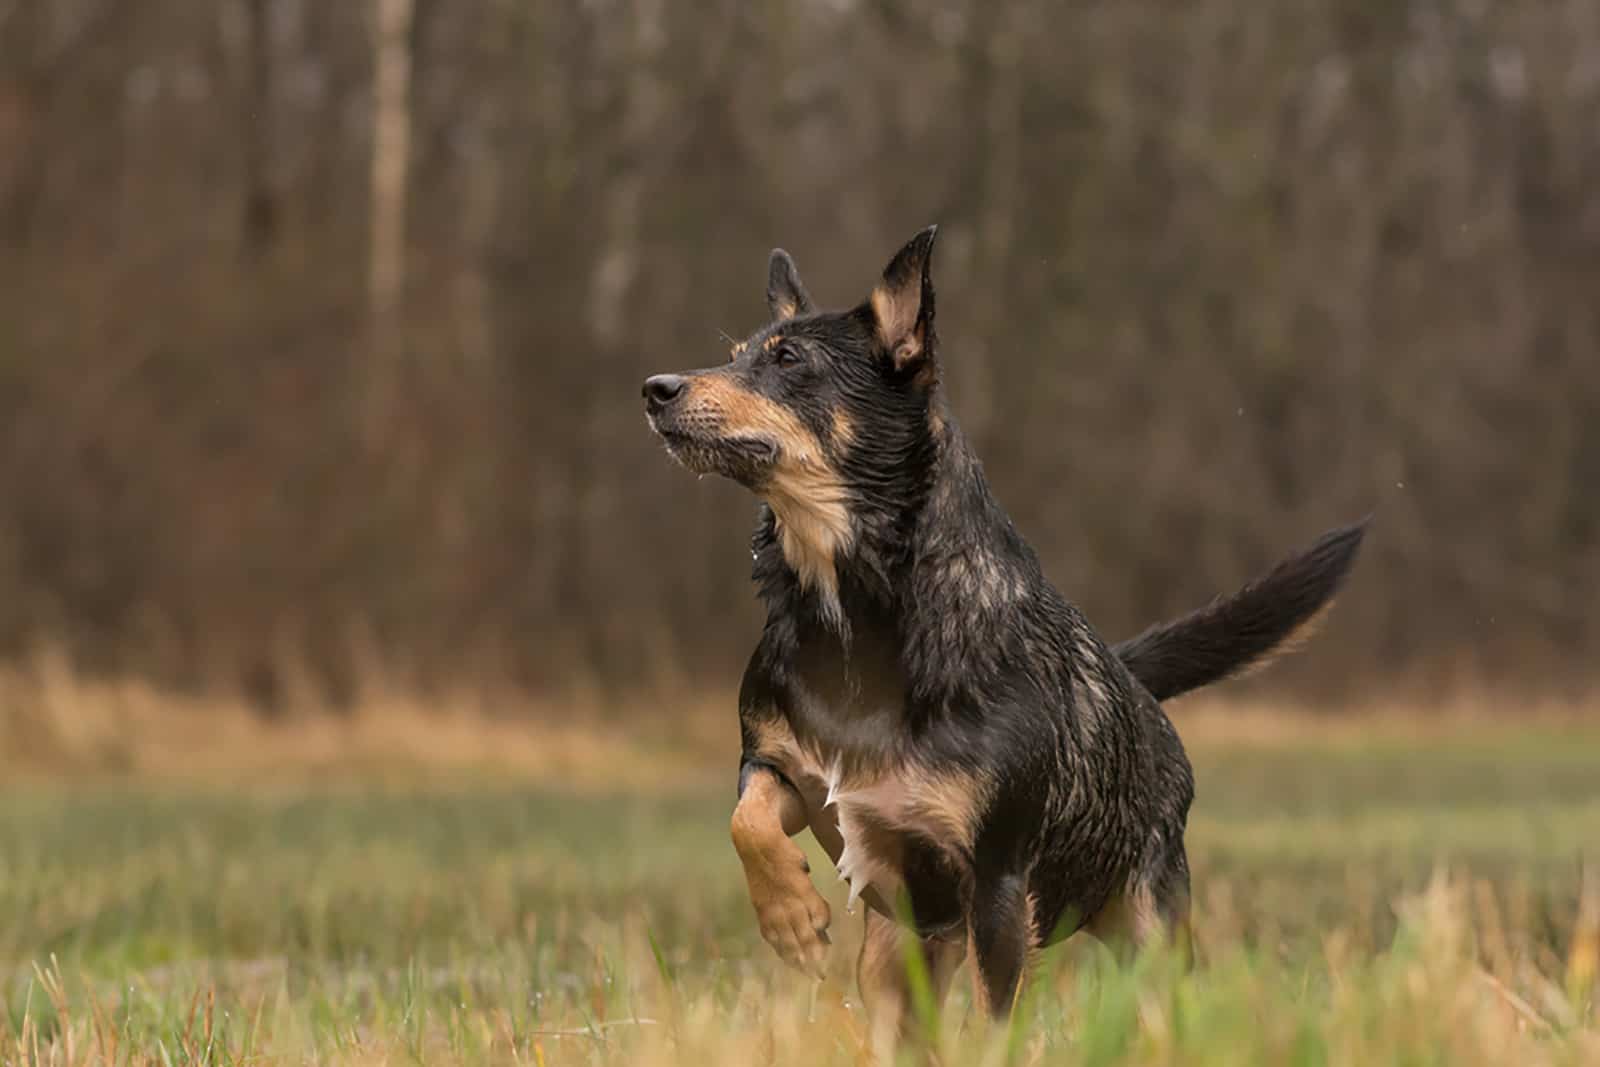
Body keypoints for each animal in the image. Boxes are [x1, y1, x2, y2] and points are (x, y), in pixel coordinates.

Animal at [643, 227, 1369, 1036]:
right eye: (738, 352)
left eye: (789, 360)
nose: (655, 388)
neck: (853, 615)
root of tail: (1132, 682)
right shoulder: (780, 765)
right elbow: (748, 817)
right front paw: (790, 917)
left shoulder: (997, 881)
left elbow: (999, 1021)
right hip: (896, 956)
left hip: (1148, 925)